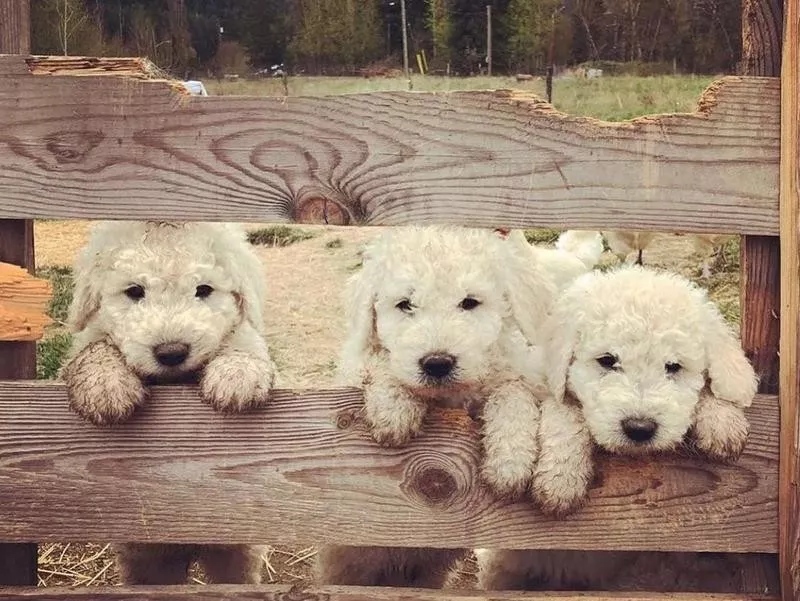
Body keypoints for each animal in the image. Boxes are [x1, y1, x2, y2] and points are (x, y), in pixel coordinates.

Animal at [60, 220, 276, 580]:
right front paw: (105, 385)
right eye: (135, 291)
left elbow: (242, 337)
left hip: (235, 551)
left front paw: (237, 373)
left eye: (203, 289)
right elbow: (93, 343)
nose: (172, 352)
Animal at [318, 225, 556, 584]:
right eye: (405, 304)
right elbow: (377, 362)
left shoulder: (505, 374)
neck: (446, 396)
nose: (437, 363)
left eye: (469, 302)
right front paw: (394, 407)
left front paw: (510, 459)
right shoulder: (355, 367)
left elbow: (513, 392)